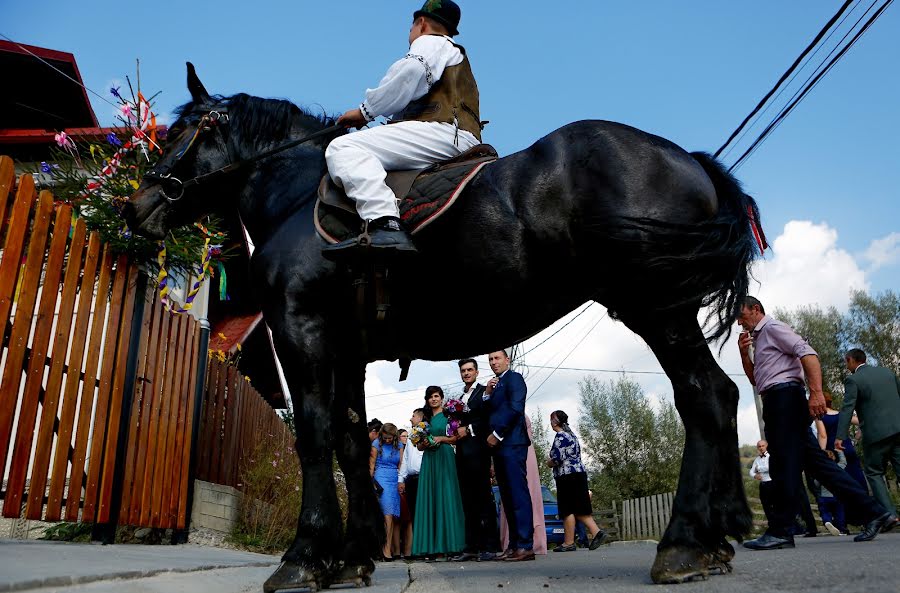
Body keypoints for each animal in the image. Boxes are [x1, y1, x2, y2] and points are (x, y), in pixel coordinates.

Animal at [126, 65, 760, 588]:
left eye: (182, 131)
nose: (136, 206)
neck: (299, 199)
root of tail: (684, 158)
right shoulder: (347, 352)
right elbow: (352, 442)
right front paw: (351, 556)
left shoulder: (302, 331)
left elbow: (314, 436)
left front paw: (304, 557)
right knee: (723, 394)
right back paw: (717, 534)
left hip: (656, 309)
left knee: (702, 397)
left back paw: (683, 543)